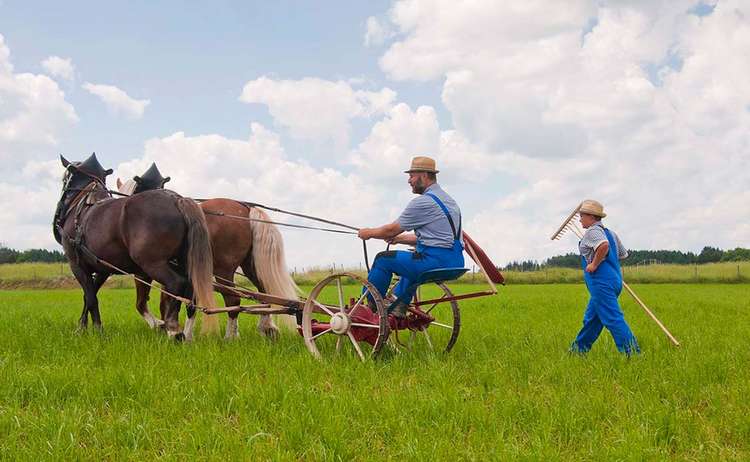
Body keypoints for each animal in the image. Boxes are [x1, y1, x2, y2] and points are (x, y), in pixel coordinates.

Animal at [54, 155, 214, 340]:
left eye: (65, 177)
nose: (58, 216)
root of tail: (177, 199)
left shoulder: (77, 265)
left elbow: (92, 297)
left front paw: (97, 330)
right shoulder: (103, 268)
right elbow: (89, 295)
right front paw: (82, 327)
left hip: (152, 263)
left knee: (176, 284)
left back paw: (173, 329)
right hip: (184, 262)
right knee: (191, 293)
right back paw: (186, 334)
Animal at [117, 170, 296, 340]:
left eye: (135, 189)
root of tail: (245, 208)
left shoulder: (147, 271)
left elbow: (147, 303)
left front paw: (165, 327)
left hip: (224, 269)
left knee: (233, 299)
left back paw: (229, 337)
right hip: (250, 265)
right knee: (264, 293)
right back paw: (266, 328)